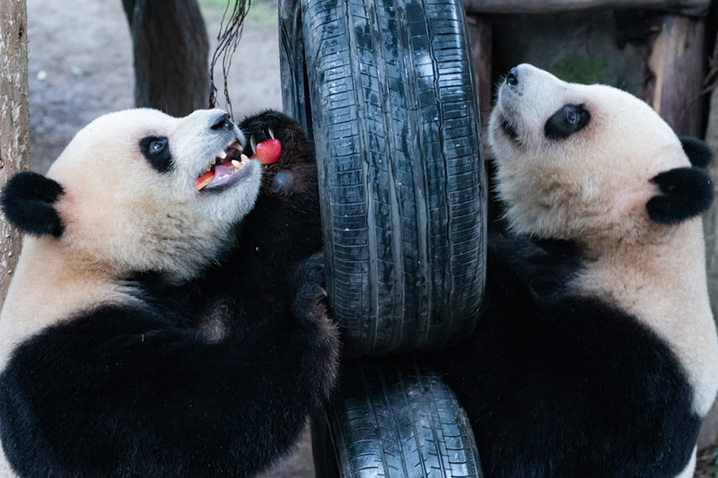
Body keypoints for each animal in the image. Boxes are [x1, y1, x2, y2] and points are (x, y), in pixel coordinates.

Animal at [0, 106, 340, 476]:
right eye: (156, 145)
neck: (90, 263)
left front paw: (281, 156)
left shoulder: (203, 287)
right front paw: (304, 306)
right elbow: (197, 418)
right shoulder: (65, 372)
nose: (222, 120)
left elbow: (263, 267)